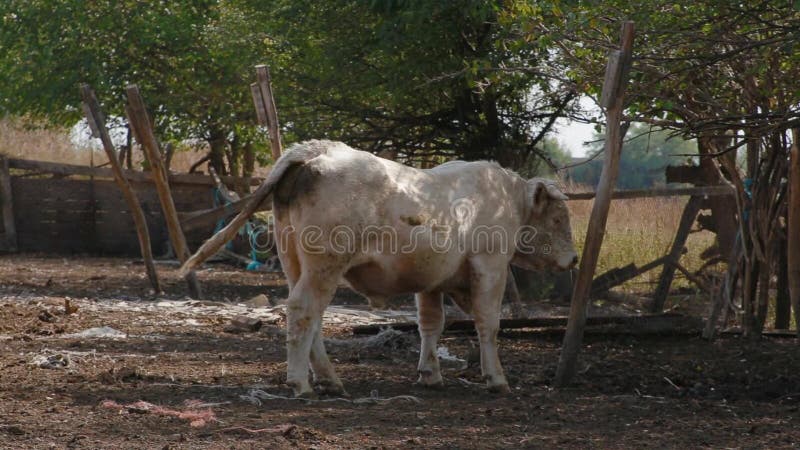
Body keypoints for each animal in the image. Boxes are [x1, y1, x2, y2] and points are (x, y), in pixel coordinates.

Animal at [182, 140, 580, 398]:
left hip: (295, 263)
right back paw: (301, 383)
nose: (574, 259)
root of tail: (318, 150)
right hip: (324, 265)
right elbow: (488, 324)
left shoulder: (432, 279)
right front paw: (496, 378)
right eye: (559, 218)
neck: (506, 199)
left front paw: (430, 374)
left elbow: (431, 324)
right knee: (303, 311)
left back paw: (330, 380)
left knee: (313, 319)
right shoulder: (491, 267)